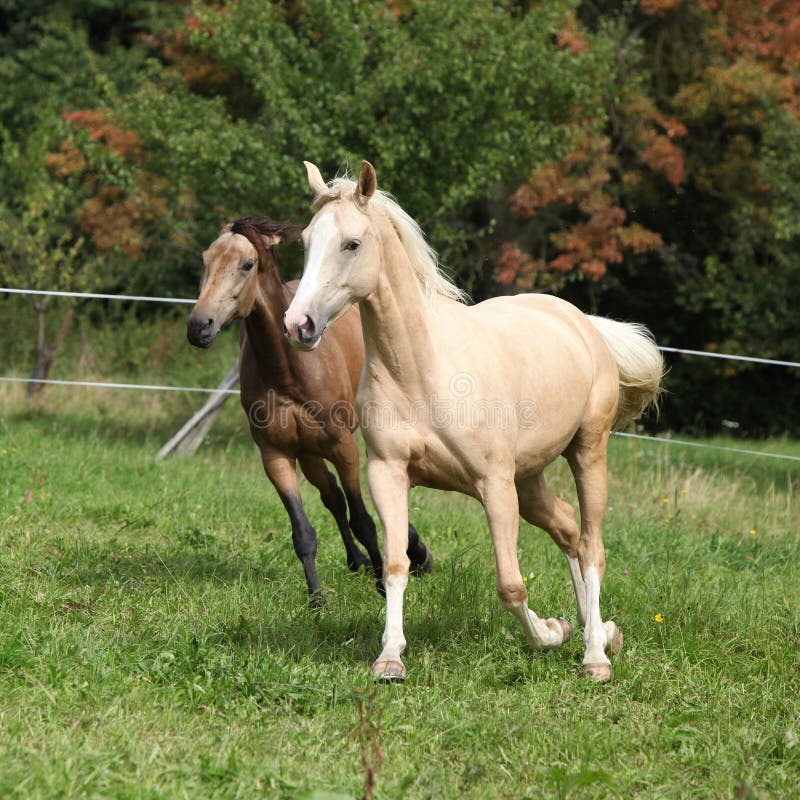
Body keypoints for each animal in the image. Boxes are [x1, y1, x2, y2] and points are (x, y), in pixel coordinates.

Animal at [186, 214, 432, 608]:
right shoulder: (276, 455)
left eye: (247, 264)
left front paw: (383, 582)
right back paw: (358, 560)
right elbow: (303, 531)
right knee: (332, 497)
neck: (289, 370)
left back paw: (411, 550)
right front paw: (317, 599)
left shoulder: (342, 447)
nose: (199, 326)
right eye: (206, 260)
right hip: (308, 454)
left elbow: (364, 520)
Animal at [284, 161, 664, 680]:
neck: (421, 369)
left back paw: (595, 655)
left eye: (352, 244)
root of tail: (583, 323)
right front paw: (390, 658)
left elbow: (510, 584)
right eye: (305, 241)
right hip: (530, 478)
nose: (297, 325)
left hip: (587, 451)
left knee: (591, 545)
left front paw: (550, 633)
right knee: (568, 528)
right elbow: (396, 564)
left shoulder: (494, 485)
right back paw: (598, 628)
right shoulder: (388, 473)